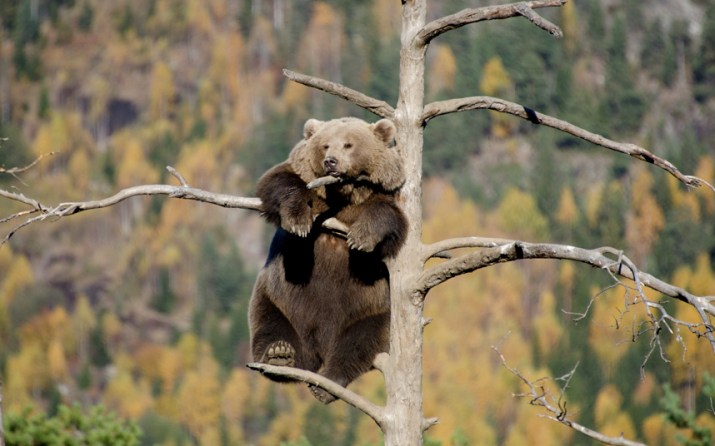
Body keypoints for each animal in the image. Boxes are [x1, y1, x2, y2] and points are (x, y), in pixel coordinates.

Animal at [249, 117, 408, 404]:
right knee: (270, 325)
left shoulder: (385, 196)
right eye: (325, 145)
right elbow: (278, 182)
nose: (331, 161)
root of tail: (317, 350)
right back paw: (279, 355)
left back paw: (327, 383)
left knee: (358, 343)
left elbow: (388, 216)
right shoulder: (304, 179)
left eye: (348, 144)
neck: (343, 193)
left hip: (374, 311)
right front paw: (298, 220)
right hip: (277, 300)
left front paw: (361, 237)